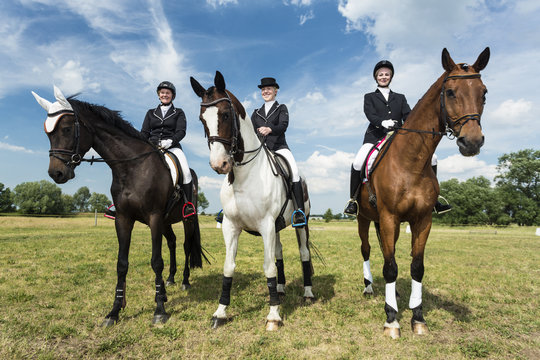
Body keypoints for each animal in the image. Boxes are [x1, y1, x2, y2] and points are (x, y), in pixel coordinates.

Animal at [32, 86, 205, 326]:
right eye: (48, 134)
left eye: (66, 129)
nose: (56, 173)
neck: (132, 167)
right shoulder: (124, 219)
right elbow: (122, 263)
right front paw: (114, 311)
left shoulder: (153, 217)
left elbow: (156, 261)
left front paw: (159, 311)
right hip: (166, 221)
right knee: (171, 242)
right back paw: (169, 282)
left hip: (186, 218)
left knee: (187, 245)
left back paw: (184, 282)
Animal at [191, 71, 314, 330]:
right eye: (202, 119)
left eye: (225, 115)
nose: (219, 165)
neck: (244, 176)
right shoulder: (231, 226)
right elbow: (229, 267)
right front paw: (220, 312)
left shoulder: (265, 224)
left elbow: (268, 267)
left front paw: (274, 315)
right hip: (276, 227)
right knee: (278, 253)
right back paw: (281, 290)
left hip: (302, 223)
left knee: (303, 253)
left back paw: (308, 293)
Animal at [358, 47, 490, 338]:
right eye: (450, 92)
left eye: (484, 93)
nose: (472, 142)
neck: (411, 162)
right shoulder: (388, 217)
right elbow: (390, 266)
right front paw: (391, 319)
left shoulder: (422, 220)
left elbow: (416, 267)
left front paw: (417, 317)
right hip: (364, 218)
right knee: (368, 249)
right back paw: (369, 287)